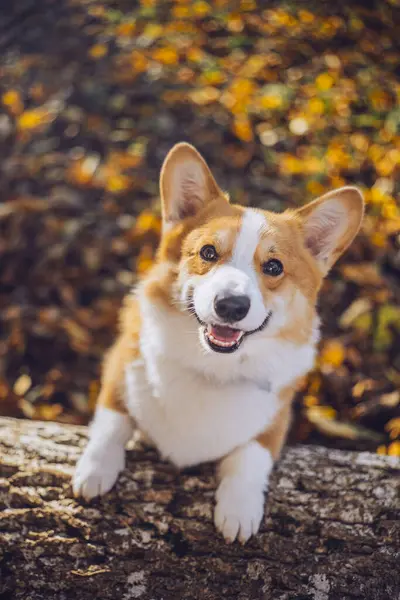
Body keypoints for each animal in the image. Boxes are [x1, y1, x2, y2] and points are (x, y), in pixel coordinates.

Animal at [72, 144, 366, 544]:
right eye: (208, 253)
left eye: (274, 267)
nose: (231, 305)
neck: (213, 365)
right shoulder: (120, 363)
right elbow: (112, 417)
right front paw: (94, 469)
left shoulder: (276, 419)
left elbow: (251, 455)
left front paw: (239, 511)